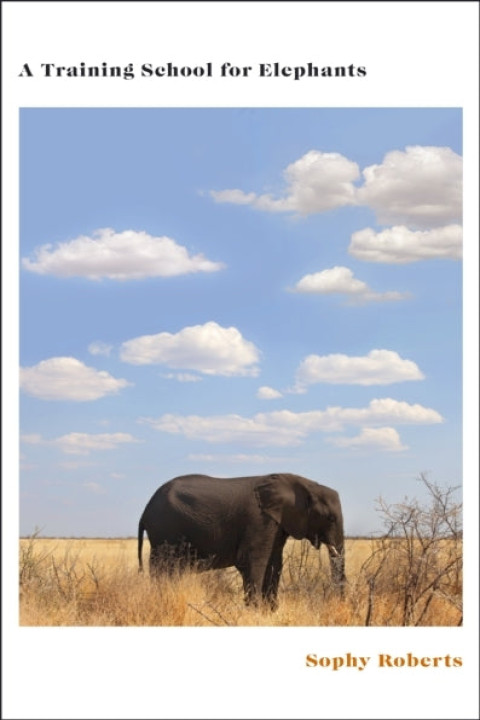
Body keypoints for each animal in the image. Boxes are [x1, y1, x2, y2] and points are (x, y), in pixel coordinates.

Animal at [138, 472, 346, 608]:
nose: (340, 604)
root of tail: (145, 511)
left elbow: (274, 564)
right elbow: (252, 562)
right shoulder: (259, 520)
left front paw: (270, 611)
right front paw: (254, 611)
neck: (303, 484)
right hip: (164, 531)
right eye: (330, 518)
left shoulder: (276, 524)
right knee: (162, 568)